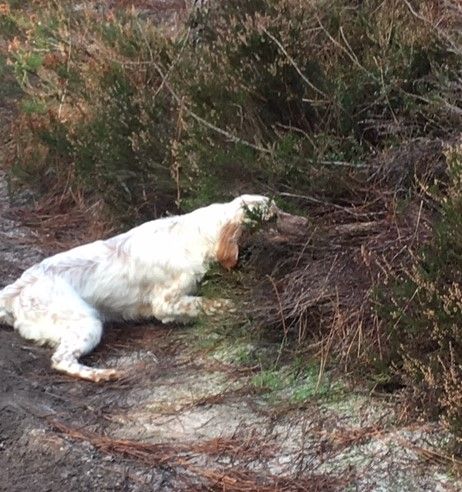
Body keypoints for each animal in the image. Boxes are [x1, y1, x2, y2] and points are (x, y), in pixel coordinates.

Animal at [0, 194, 278, 382]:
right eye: (273, 217)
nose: (292, 217)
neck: (199, 235)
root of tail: (16, 288)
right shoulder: (166, 303)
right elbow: (210, 303)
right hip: (86, 322)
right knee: (61, 360)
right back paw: (101, 374)